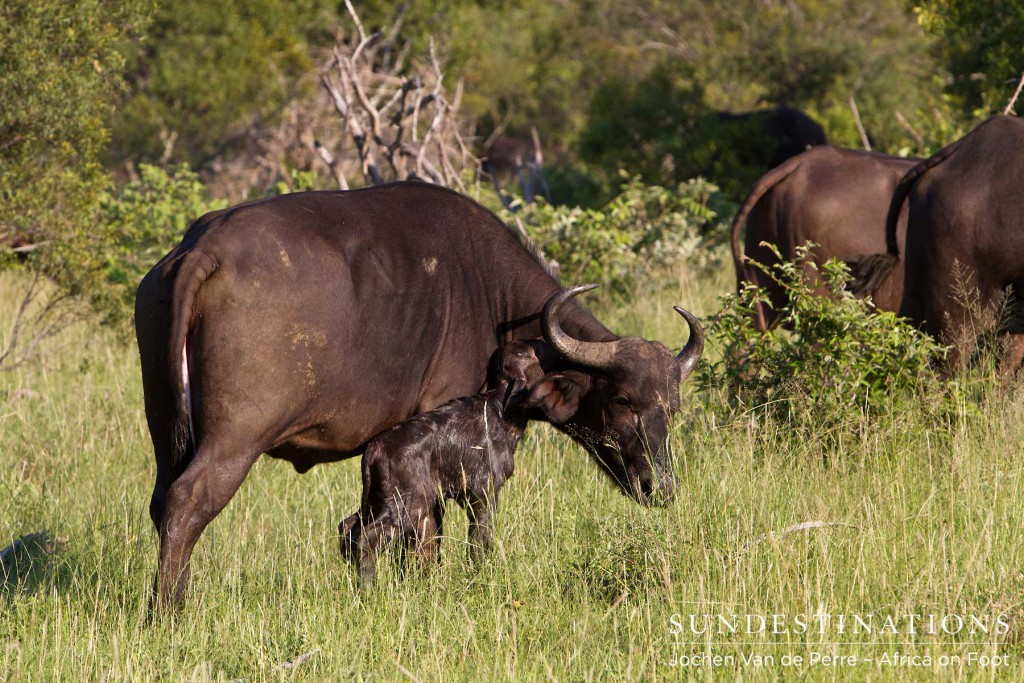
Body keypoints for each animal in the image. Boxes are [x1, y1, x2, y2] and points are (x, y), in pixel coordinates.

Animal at [339, 339, 544, 581]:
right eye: (532, 354)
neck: (501, 407)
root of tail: (374, 449)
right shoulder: (483, 492)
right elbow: (480, 539)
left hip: (376, 499)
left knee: (348, 527)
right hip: (408, 503)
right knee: (367, 538)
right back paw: (368, 587)